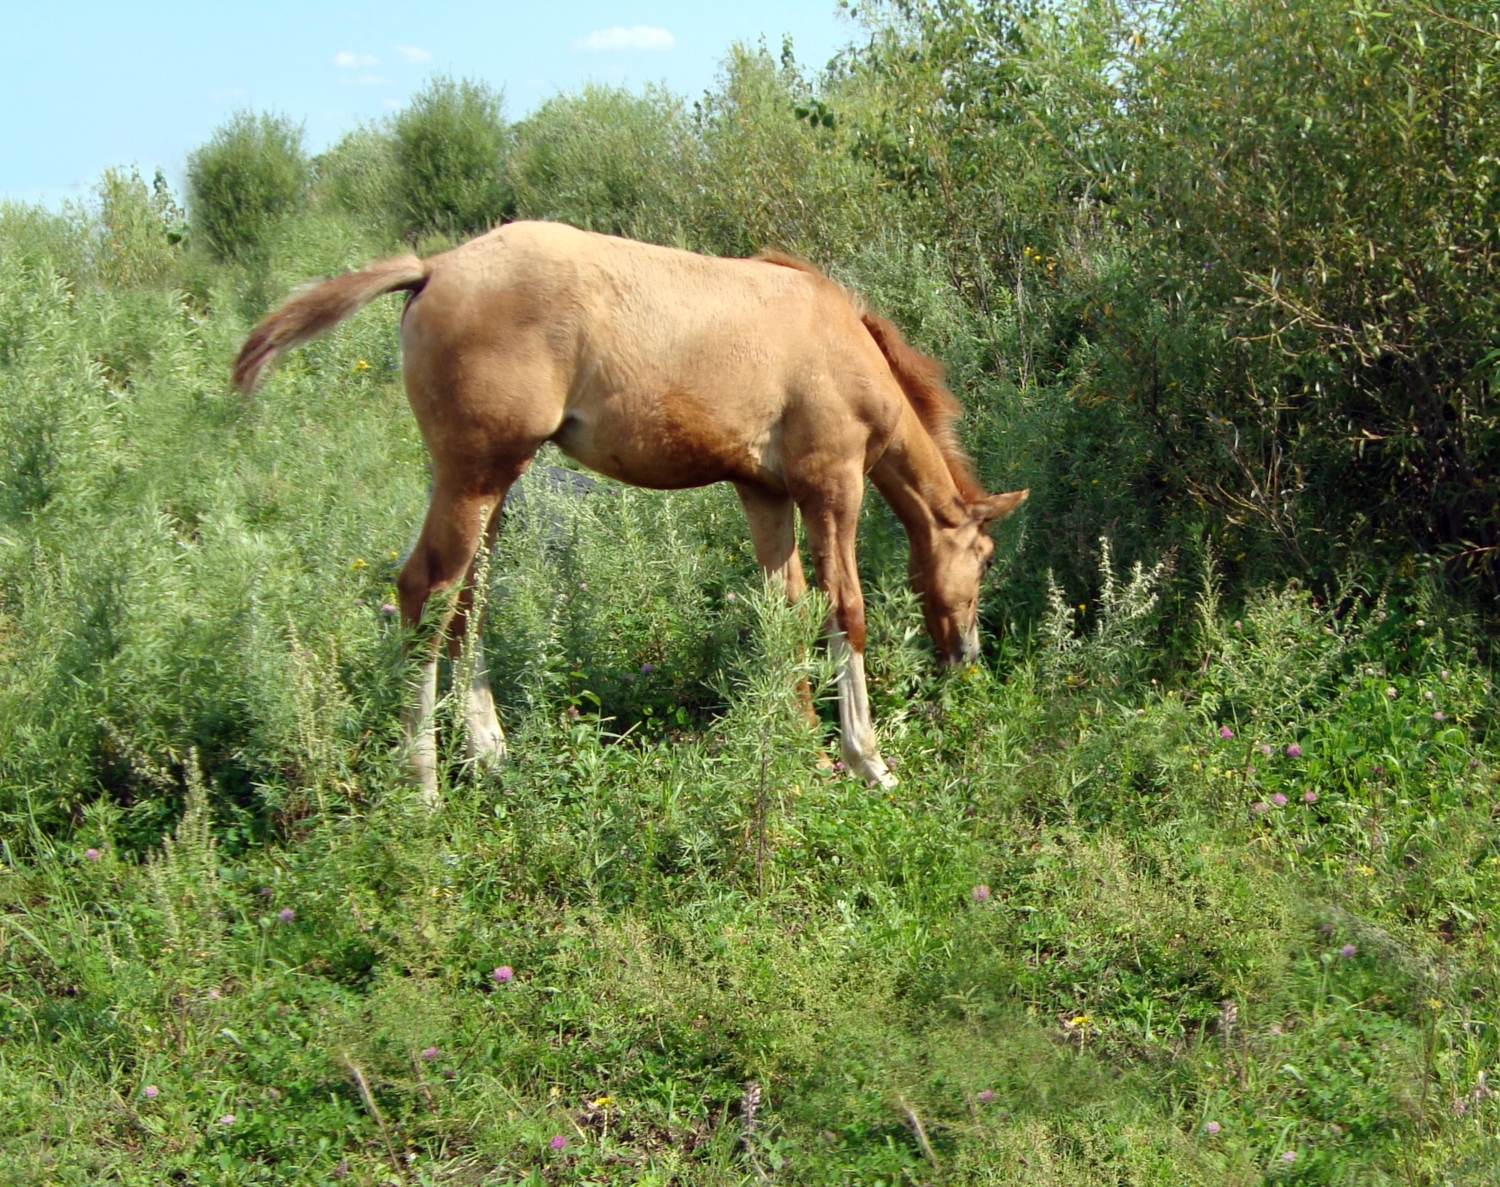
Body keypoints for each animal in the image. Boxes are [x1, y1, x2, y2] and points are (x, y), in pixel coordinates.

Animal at [234, 217, 1026, 804]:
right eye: (985, 560)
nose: (968, 658)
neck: (841, 341)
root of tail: (432, 269)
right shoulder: (831, 485)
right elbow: (844, 610)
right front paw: (867, 758)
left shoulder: (764, 493)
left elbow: (787, 608)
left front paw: (802, 743)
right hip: (475, 480)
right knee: (424, 594)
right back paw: (423, 787)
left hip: (485, 490)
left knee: (466, 605)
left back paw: (492, 756)